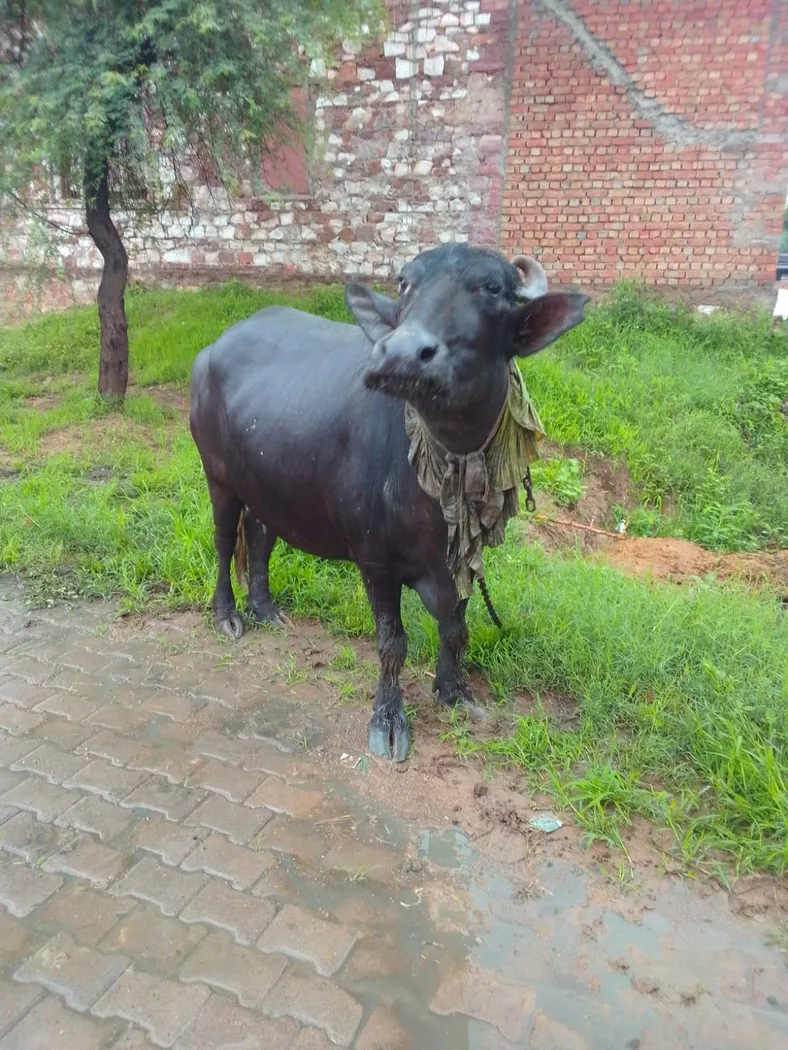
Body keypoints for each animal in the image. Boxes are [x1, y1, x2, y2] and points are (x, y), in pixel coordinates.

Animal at [190, 244, 588, 760]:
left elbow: (455, 629)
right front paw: (389, 720)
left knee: (260, 538)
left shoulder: (465, 558)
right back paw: (228, 615)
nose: (401, 354)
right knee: (223, 542)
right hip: (218, 475)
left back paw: (265, 609)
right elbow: (391, 643)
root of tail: (212, 350)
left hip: (269, 480)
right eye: (405, 284)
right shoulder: (374, 561)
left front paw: (454, 692)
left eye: (492, 288)